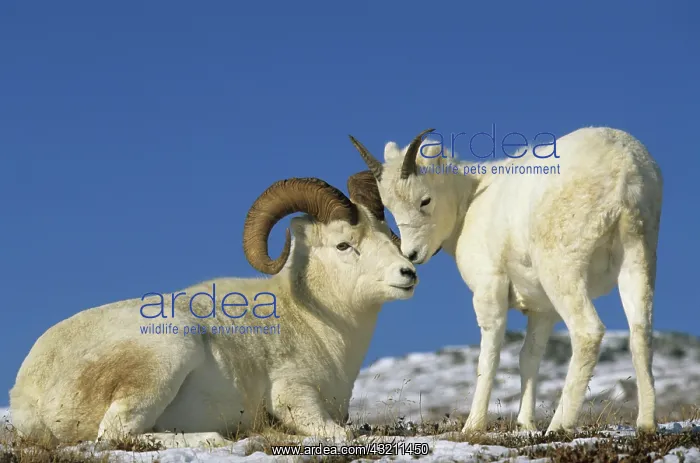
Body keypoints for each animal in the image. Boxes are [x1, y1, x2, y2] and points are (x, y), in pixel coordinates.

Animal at [9, 175, 418, 448]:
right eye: (343, 245)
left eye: (389, 236)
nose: (408, 273)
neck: (318, 322)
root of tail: (27, 396)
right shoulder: (295, 396)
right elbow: (340, 432)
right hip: (171, 351)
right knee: (116, 434)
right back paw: (216, 437)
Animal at [347, 127, 663, 434]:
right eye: (391, 207)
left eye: (425, 200)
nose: (412, 254)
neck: (470, 200)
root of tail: (624, 172)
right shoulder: (541, 310)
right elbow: (529, 358)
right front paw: (525, 425)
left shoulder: (489, 291)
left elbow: (489, 358)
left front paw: (473, 427)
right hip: (638, 259)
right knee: (640, 334)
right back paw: (646, 425)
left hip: (563, 273)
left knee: (588, 332)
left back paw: (558, 426)